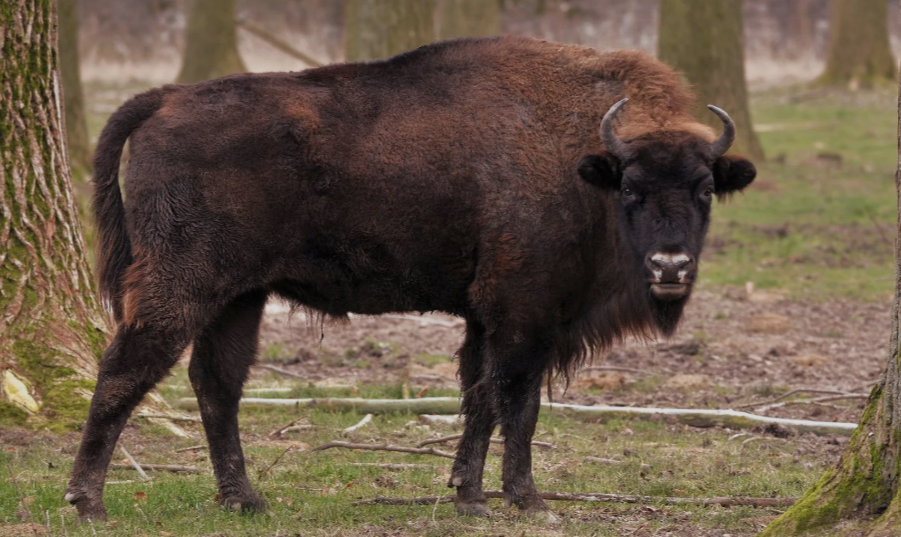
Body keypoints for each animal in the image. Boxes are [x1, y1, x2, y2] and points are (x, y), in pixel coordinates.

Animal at [66, 35, 756, 521]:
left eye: (704, 190)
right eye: (632, 189)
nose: (671, 266)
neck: (586, 163)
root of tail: (167, 98)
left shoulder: (483, 317)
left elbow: (480, 399)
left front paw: (468, 497)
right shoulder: (522, 314)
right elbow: (519, 403)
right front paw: (527, 500)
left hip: (240, 297)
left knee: (216, 384)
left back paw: (245, 499)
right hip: (181, 285)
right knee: (126, 369)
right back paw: (88, 501)